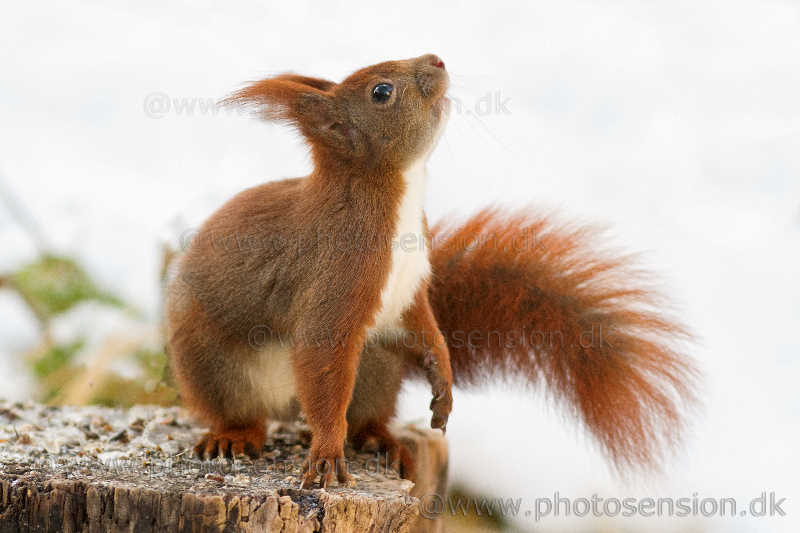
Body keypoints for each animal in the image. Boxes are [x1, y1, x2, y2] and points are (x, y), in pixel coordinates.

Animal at [166, 53, 696, 486]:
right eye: (382, 92)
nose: (436, 59)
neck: (400, 198)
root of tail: (286, 407)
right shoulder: (336, 274)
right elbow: (321, 349)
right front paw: (326, 454)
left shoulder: (411, 287)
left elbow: (427, 327)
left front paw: (444, 385)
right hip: (213, 362)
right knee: (246, 410)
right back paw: (236, 436)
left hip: (376, 364)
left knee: (366, 415)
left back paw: (382, 440)